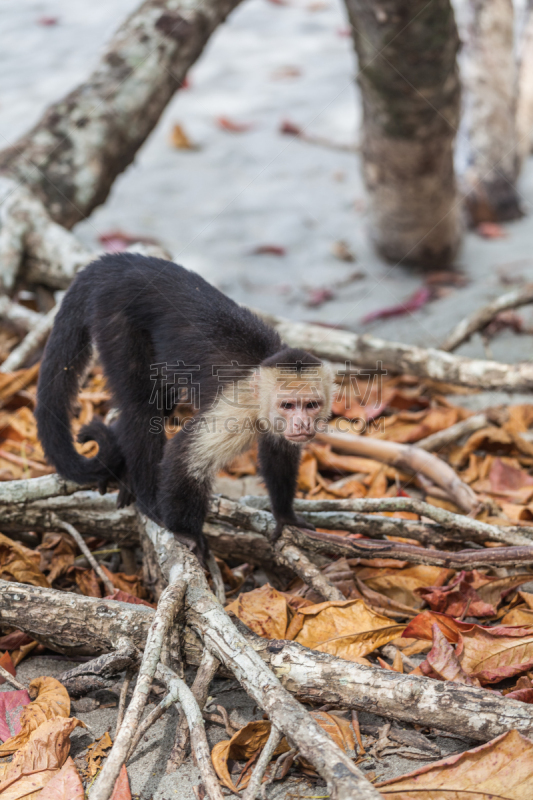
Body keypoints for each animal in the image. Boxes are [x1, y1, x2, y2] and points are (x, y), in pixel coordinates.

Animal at [36, 255, 332, 564]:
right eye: (288, 405)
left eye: (310, 405)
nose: (301, 424)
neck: (257, 399)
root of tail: (123, 262)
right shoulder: (235, 410)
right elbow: (184, 457)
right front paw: (186, 532)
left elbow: (279, 453)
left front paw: (285, 516)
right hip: (115, 313)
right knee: (142, 408)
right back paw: (148, 501)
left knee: (161, 401)